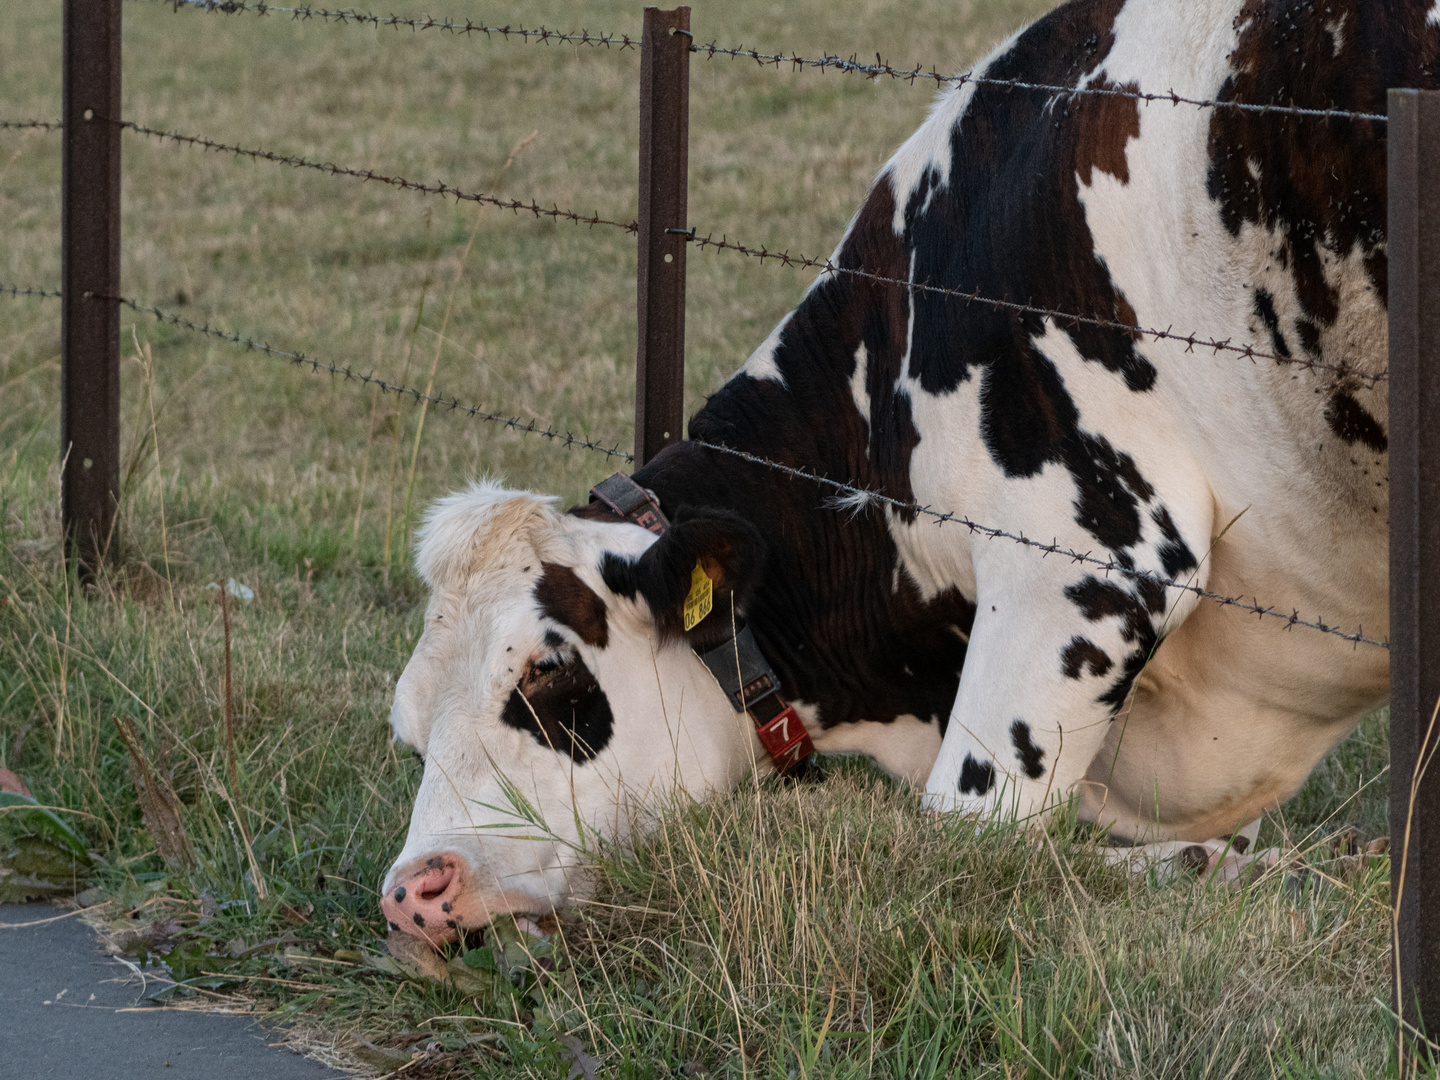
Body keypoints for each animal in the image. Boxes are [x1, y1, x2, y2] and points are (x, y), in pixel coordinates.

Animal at [377, 0, 1434, 944]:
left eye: (550, 676)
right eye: (409, 730)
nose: (413, 895)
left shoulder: (1089, 560)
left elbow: (962, 844)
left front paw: (1254, 868)